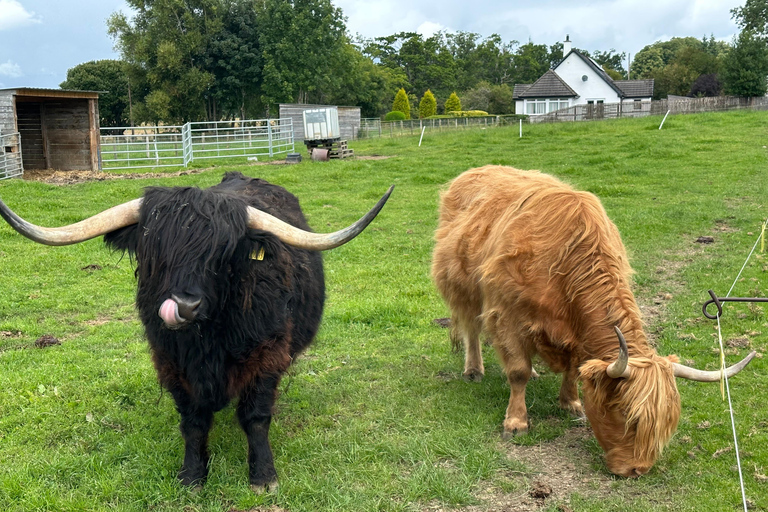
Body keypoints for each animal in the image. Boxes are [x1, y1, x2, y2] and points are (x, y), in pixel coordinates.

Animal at [0, 173, 392, 492]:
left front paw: (263, 477)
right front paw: (192, 476)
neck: (208, 341)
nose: (184, 305)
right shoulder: (172, 363)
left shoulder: (268, 355)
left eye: (223, 252)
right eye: (155, 248)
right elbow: (193, 422)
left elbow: (256, 417)